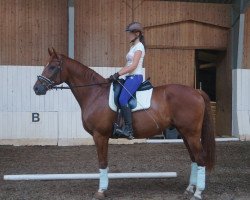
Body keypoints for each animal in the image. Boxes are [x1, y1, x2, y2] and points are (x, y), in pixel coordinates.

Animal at [33, 48, 215, 200]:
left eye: (52, 67)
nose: (37, 88)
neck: (95, 93)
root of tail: (195, 91)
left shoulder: (100, 135)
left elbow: (102, 162)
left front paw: (101, 191)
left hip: (191, 134)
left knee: (200, 158)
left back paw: (198, 193)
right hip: (185, 134)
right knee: (194, 158)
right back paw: (190, 189)